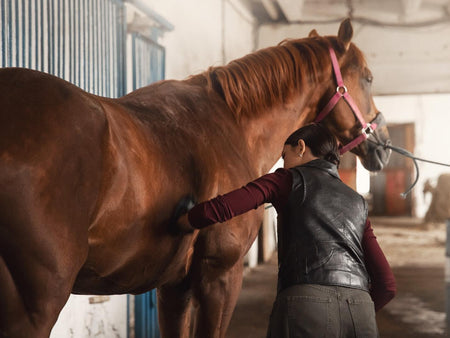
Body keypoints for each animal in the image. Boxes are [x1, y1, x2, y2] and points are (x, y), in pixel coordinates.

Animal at [0, 19, 390, 338]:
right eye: (368, 78)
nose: (384, 145)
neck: (231, 122)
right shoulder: (220, 276)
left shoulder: (175, 286)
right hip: (37, 304)